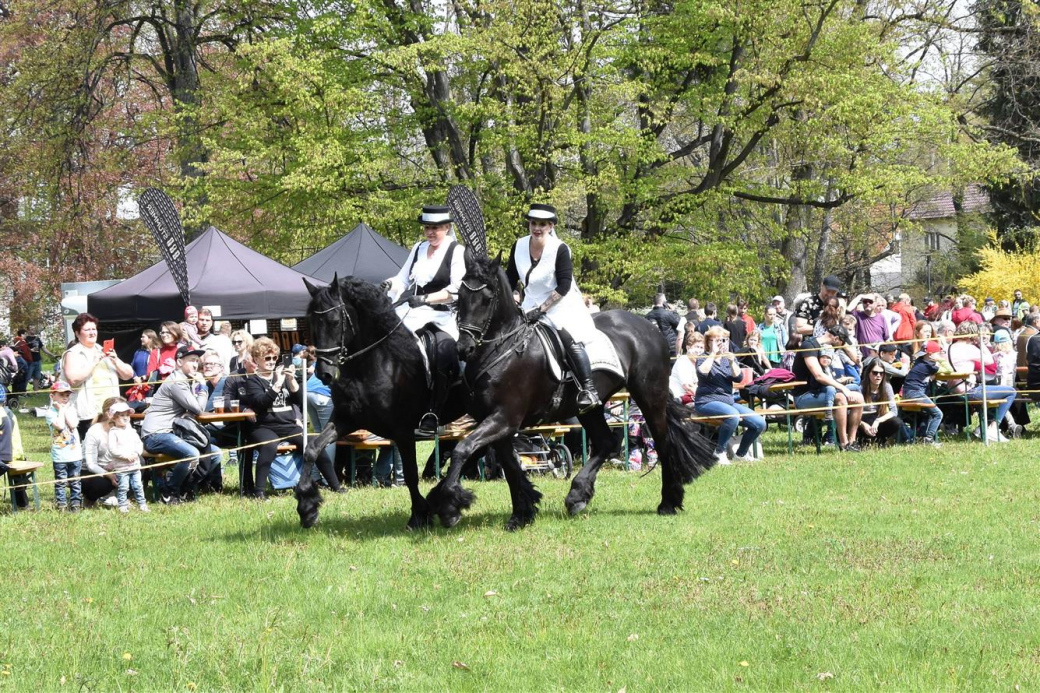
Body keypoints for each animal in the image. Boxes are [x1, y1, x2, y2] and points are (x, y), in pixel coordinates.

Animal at [297, 274, 467, 528]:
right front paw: (307, 508)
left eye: (335, 322)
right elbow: (312, 449)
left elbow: (410, 473)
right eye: (311, 322)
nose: (324, 373)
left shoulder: (403, 431)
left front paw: (419, 515)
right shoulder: (346, 420)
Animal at [426, 253, 719, 528]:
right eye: (461, 296)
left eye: (487, 298)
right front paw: (521, 513)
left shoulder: (504, 418)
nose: (464, 348)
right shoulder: (497, 422)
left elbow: (463, 450)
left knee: (662, 440)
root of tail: (648, 327)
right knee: (607, 443)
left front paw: (450, 507)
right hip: (591, 408)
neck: (503, 349)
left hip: (649, 397)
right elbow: (506, 464)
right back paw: (577, 496)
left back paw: (668, 501)